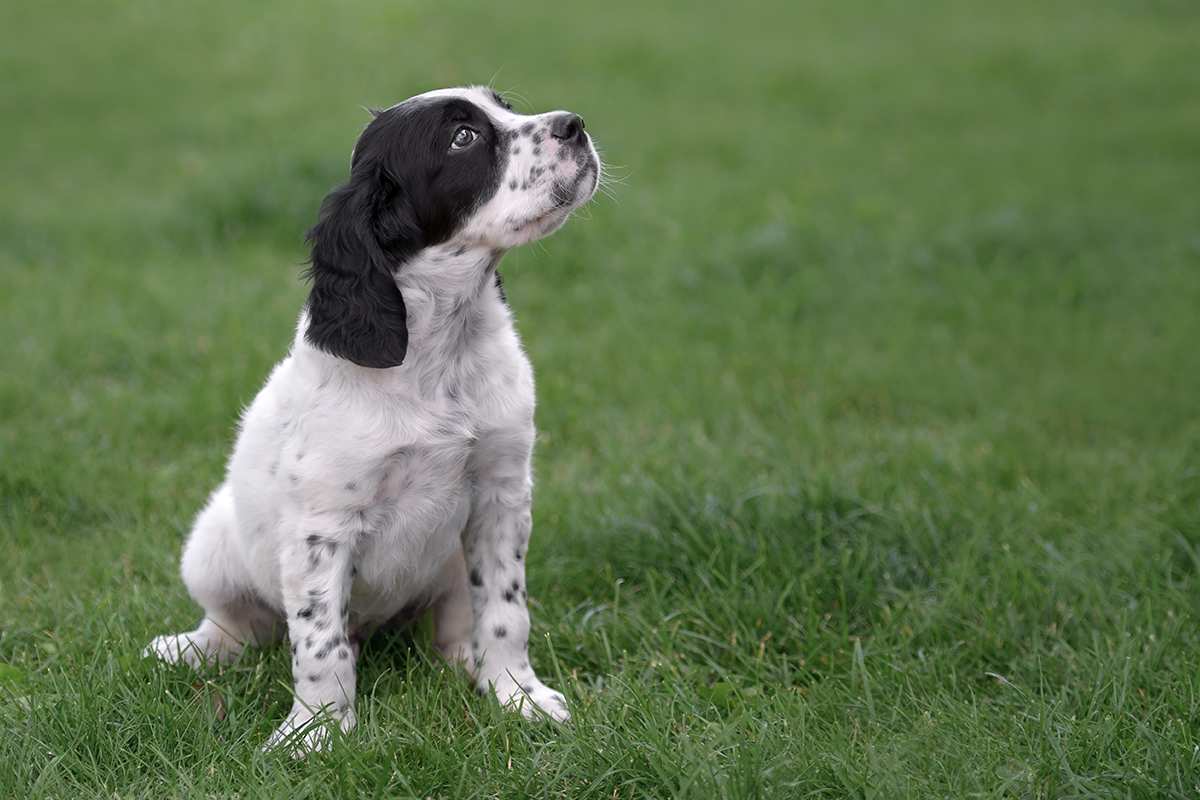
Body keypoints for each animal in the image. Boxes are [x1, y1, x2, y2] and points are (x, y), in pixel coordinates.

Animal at [145, 84, 600, 753]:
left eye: (506, 105)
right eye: (462, 138)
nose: (575, 124)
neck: (441, 354)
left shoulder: (501, 495)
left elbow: (505, 610)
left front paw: (519, 696)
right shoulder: (322, 527)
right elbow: (319, 643)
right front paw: (314, 735)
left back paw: (462, 663)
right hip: (211, 546)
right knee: (239, 626)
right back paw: (188, 651)